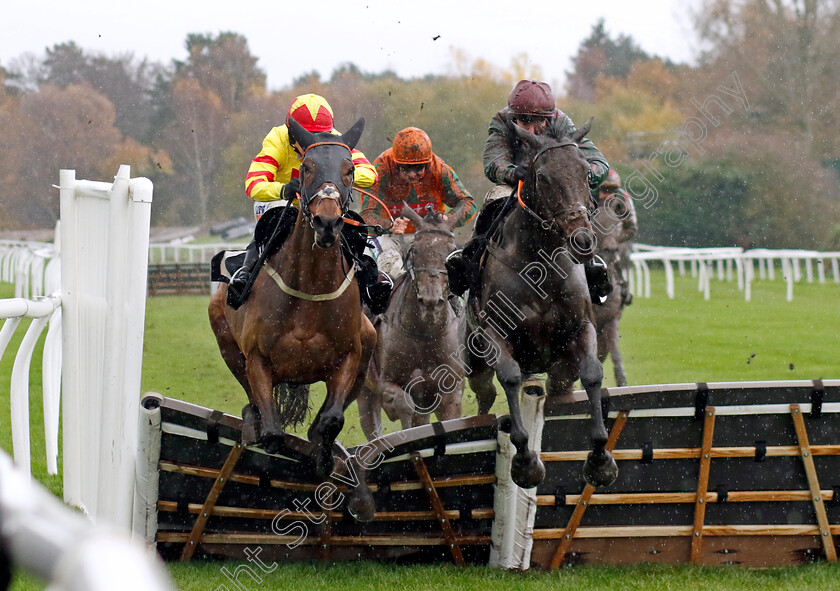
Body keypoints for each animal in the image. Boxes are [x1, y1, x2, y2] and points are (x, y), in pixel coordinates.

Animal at [208, 118, 378, 520]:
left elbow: (331, 421)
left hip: (368, 349)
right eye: (307, 168)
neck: (310, 286)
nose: (327, 221)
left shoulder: (349, 357)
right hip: (226, 342)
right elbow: (273, 434)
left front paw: (325, 460)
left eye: (349, 170)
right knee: (254, 407)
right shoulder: (257, 359)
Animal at [356, 205, 466, 440]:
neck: (424, 332)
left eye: (451, 252)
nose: (431, 300)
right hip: (364, 392)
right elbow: (403, 405)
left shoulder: (450, 390)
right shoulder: (387, 383)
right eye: (415, 250)